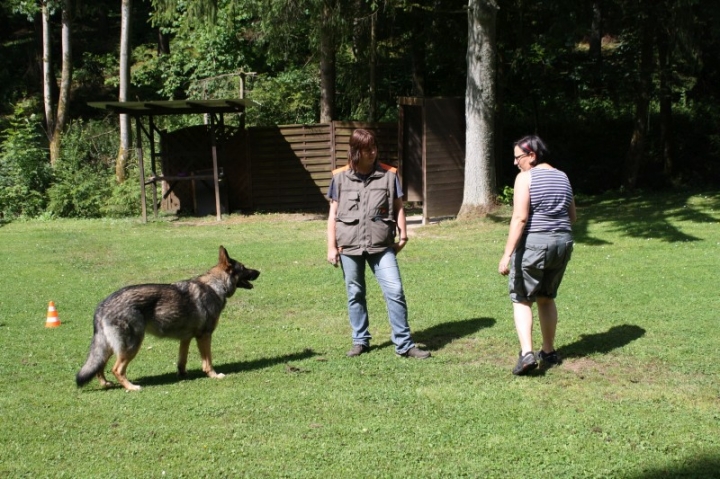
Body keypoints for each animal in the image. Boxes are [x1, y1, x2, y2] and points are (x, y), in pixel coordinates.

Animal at [76, 246, 260, 392]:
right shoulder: (204, 336)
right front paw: (214, 375)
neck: (215, 286)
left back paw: (106, 383)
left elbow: (182, 360)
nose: (259, 271)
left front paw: (183, 374)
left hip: (110, 346)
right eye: (244, 267)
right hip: (131, 345)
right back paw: (131, 387)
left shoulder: (186, 338)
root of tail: (102, 306)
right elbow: (208, 361)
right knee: (116, 369)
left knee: (99, 366)